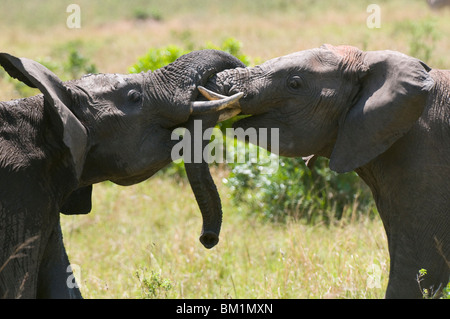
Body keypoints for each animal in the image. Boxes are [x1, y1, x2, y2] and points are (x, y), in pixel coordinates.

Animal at [0, 50, 244, 300]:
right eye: (135, 96)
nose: (208, 239)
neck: (46, 113)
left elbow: (61, 281)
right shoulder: (21, 192)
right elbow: (19, 284)